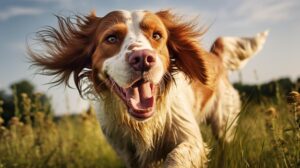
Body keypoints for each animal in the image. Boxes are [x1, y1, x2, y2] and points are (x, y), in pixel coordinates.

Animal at [28, 9, 268, 167]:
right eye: (111, 38)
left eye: (157, 35)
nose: (142, 58)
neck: (144, 124)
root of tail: (215, 56)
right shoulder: (128, 154)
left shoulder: (190, 138)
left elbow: (175, 158)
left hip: (223, 123)